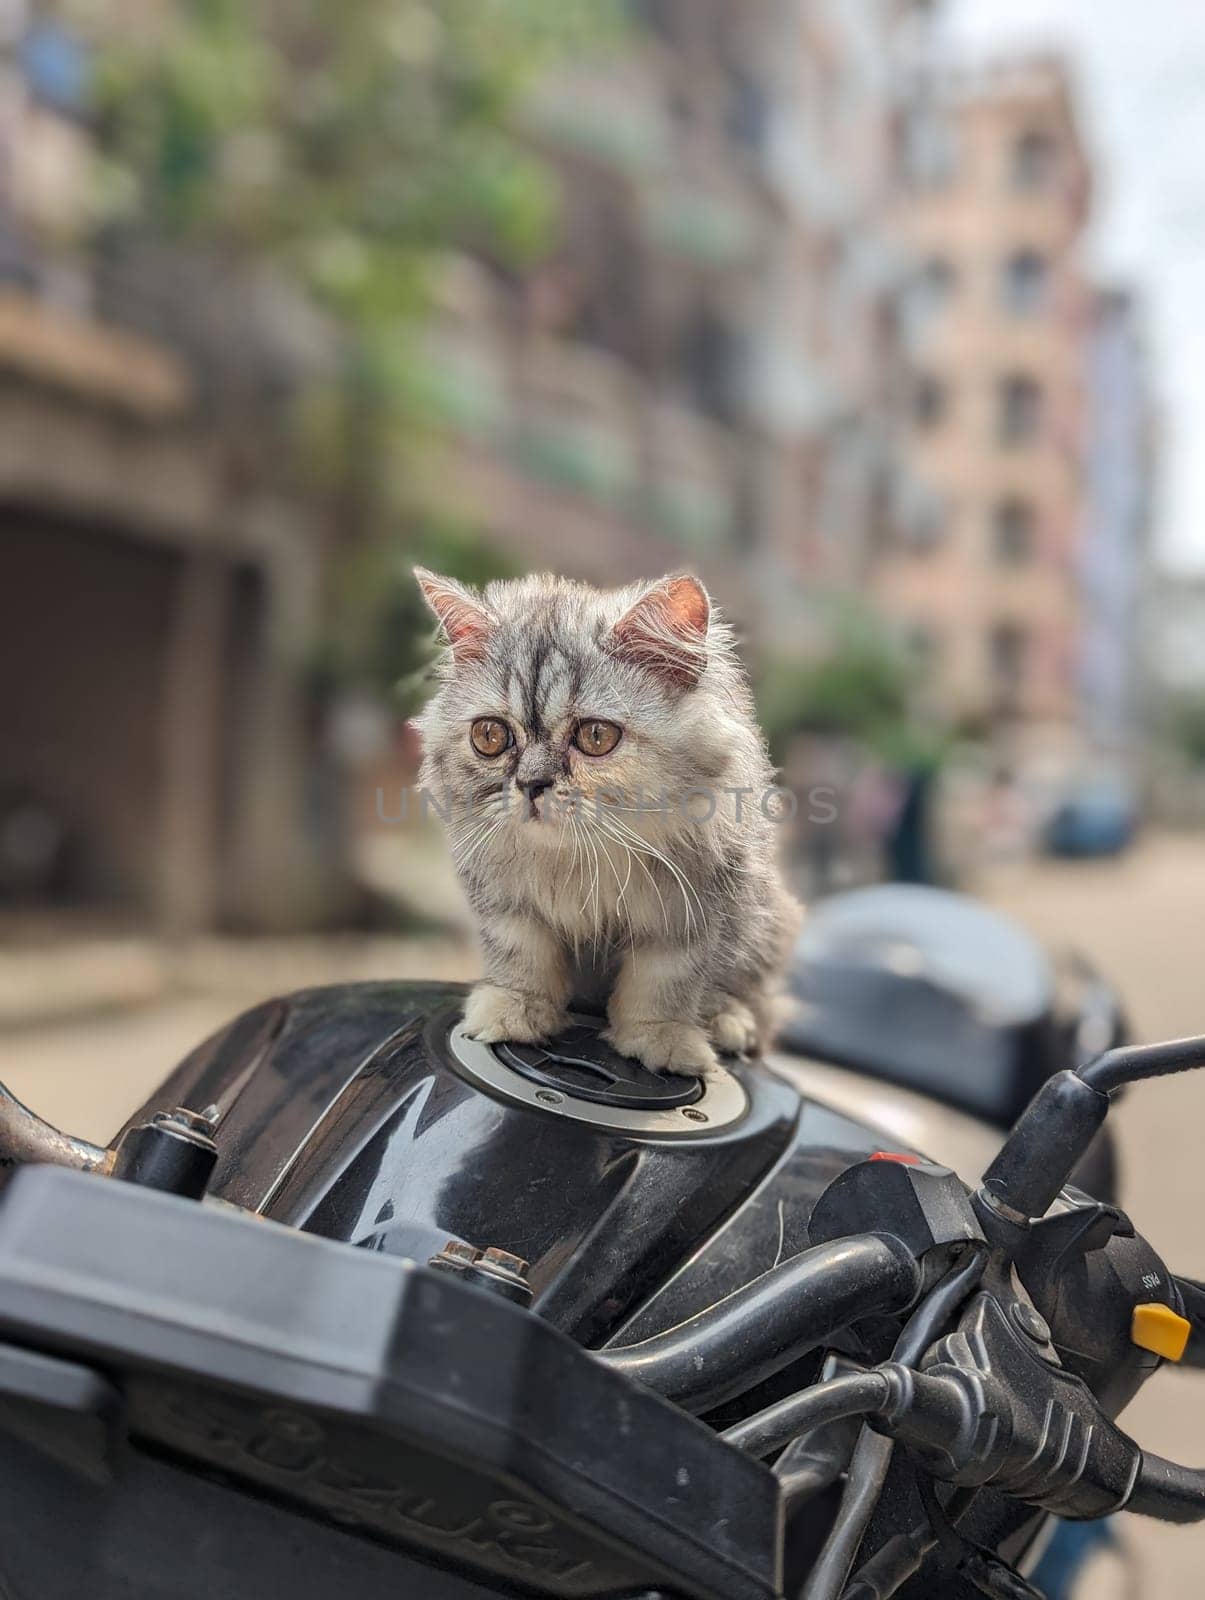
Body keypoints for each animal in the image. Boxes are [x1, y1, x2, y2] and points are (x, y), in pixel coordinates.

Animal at [412, 569, 800, 1081]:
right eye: (490, 736)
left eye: (596, 737)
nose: (531, 784)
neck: (578, 861)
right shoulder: (506, 901)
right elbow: (522, 959)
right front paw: (514, 1012)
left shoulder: (691, 912)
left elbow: (664, 984)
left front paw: (661, 1042)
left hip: (769, 919)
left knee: (759, 1001)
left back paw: (728, 1021)